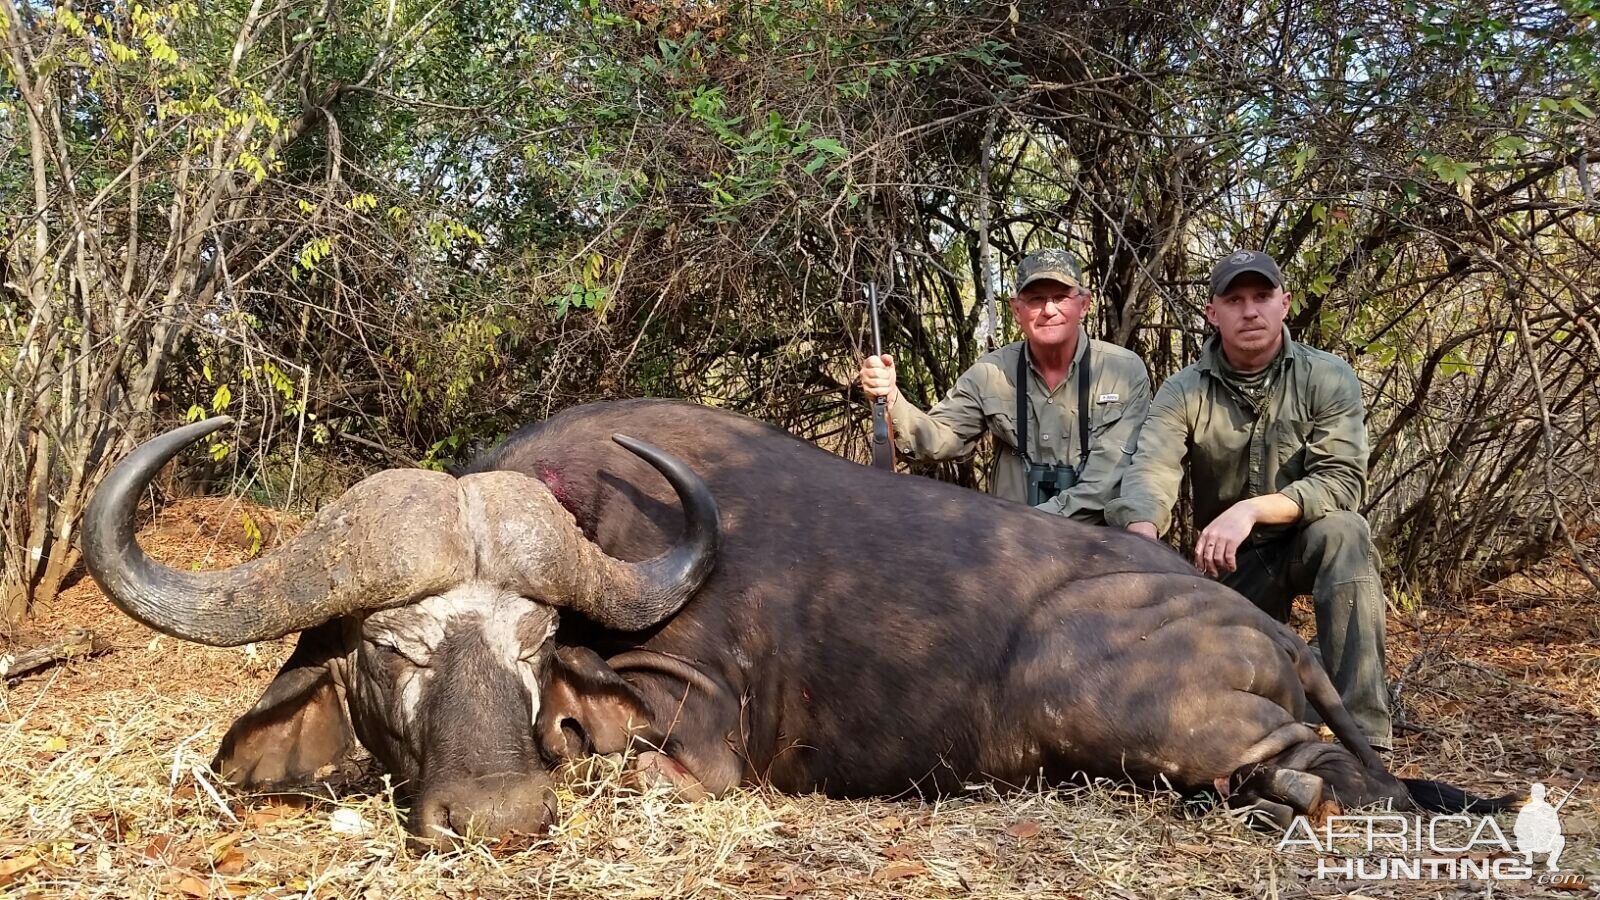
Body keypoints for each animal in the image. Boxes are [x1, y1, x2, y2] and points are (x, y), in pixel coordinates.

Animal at [84, 395, 1510, 845]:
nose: (496, 819)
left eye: (539, 645)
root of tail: (1273, 637)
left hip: (1119, 699)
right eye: (393, 650)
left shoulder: (696, 737)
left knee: (1332, 780)